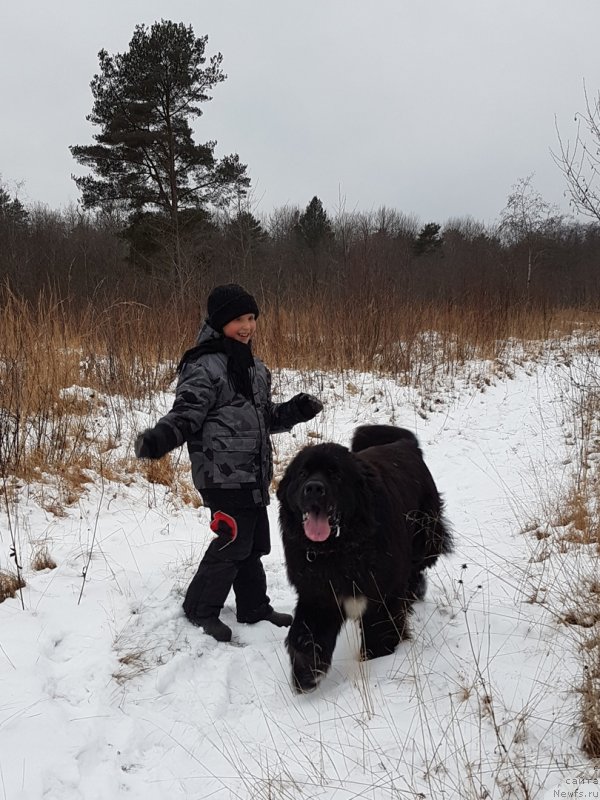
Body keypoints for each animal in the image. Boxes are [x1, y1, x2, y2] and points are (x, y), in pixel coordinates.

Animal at [276, 424, 450, 692]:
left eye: (336, 475)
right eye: (303, 473)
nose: (314, 487)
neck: (339, 550)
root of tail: (404, 442)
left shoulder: (382, 596)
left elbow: (380, 632)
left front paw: (376, 661)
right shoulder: (318, 593)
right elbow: (306, 634)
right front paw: (306, 673)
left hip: (425, 537)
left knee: (416, 568)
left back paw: (414, 593)